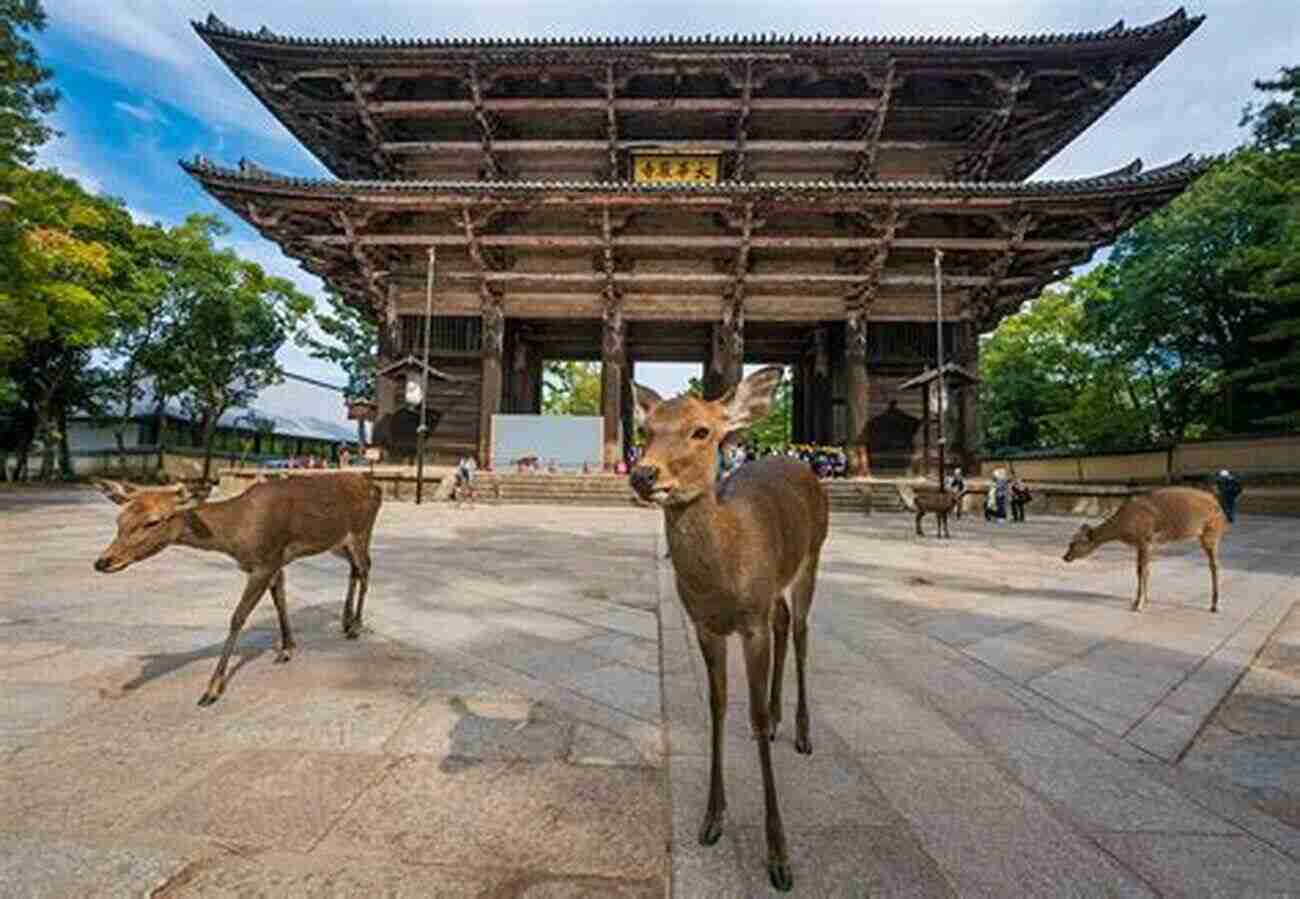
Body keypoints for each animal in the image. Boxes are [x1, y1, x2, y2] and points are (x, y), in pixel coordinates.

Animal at [92, 472, 379, 706]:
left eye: (153, 521)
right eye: (119, 519)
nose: (102, 562)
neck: (237, 535)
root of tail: (374, 486)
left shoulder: (265, 563)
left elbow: (238, 617)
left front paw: (212, 690)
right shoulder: (271, 562)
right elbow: (280, 600)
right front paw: (287, 648)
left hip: (361, 532)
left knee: (366, 568)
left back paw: (355, 626)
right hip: (337, 543)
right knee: (354, 569)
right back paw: (345, 621)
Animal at [626, 366, 826, 893]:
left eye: (702, 431)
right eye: (645, 430)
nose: (643, 474)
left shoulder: (750, 623)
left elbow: (749, 717)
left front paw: (779, 859)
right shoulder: (706, 625)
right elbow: (717, 707)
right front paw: (711, 819)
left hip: (812, 557)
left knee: (802, 630)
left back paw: (801, 733)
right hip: (775, 587)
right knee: (784, 621)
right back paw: (779, 718)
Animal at [1060, 488, 1222, 615]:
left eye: (1074, 544)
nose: (1065, 557)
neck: (1124, 528)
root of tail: (1218, 504)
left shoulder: (1146, 539)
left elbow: (1143, 570)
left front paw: (1138, 605)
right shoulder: (1141, 544)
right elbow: (1142, 570)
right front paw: (1142, 600)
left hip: (1211, 533)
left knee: (1214, 566)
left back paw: (1215, 606)